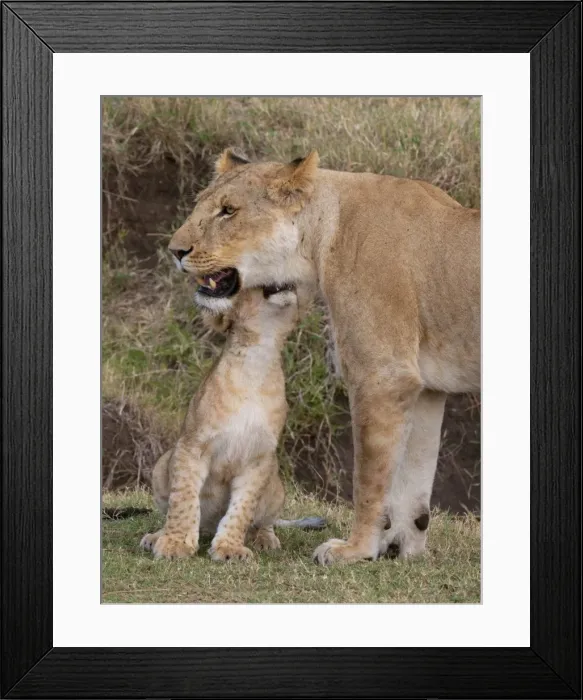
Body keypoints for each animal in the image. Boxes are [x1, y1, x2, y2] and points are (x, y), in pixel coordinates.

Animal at [140, 286, 325, 562]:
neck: (259, 356)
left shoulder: (259, 458)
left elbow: (242, 508)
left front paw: (230, 548)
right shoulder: (192, 445)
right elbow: (183, 499)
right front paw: (175, 544)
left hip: (276, 483)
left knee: (265, 521)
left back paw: (265, 539)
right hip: (162, 464)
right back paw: (155, 536)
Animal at [168, 149, 480, 565]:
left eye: (228, 211)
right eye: (200, 205)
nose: (175, 251)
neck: (321, 238)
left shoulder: (382, 375)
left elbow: (369, 478)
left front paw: (356, 550)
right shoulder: (426, 387)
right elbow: (415, 479)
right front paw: (403, 548)